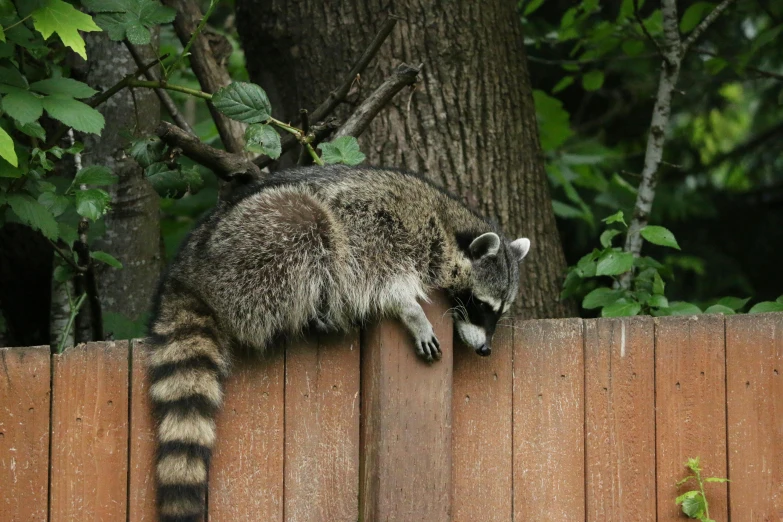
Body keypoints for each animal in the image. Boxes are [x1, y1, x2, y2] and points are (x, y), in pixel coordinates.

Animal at [146, 165, 528, 516]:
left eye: (500, 311)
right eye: (482, 304)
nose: (485, 349)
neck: (447, 225)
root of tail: (188, 271)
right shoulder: (375, 226)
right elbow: (375, 278)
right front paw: (409, 309)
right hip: (255, 246)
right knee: (309, 227)